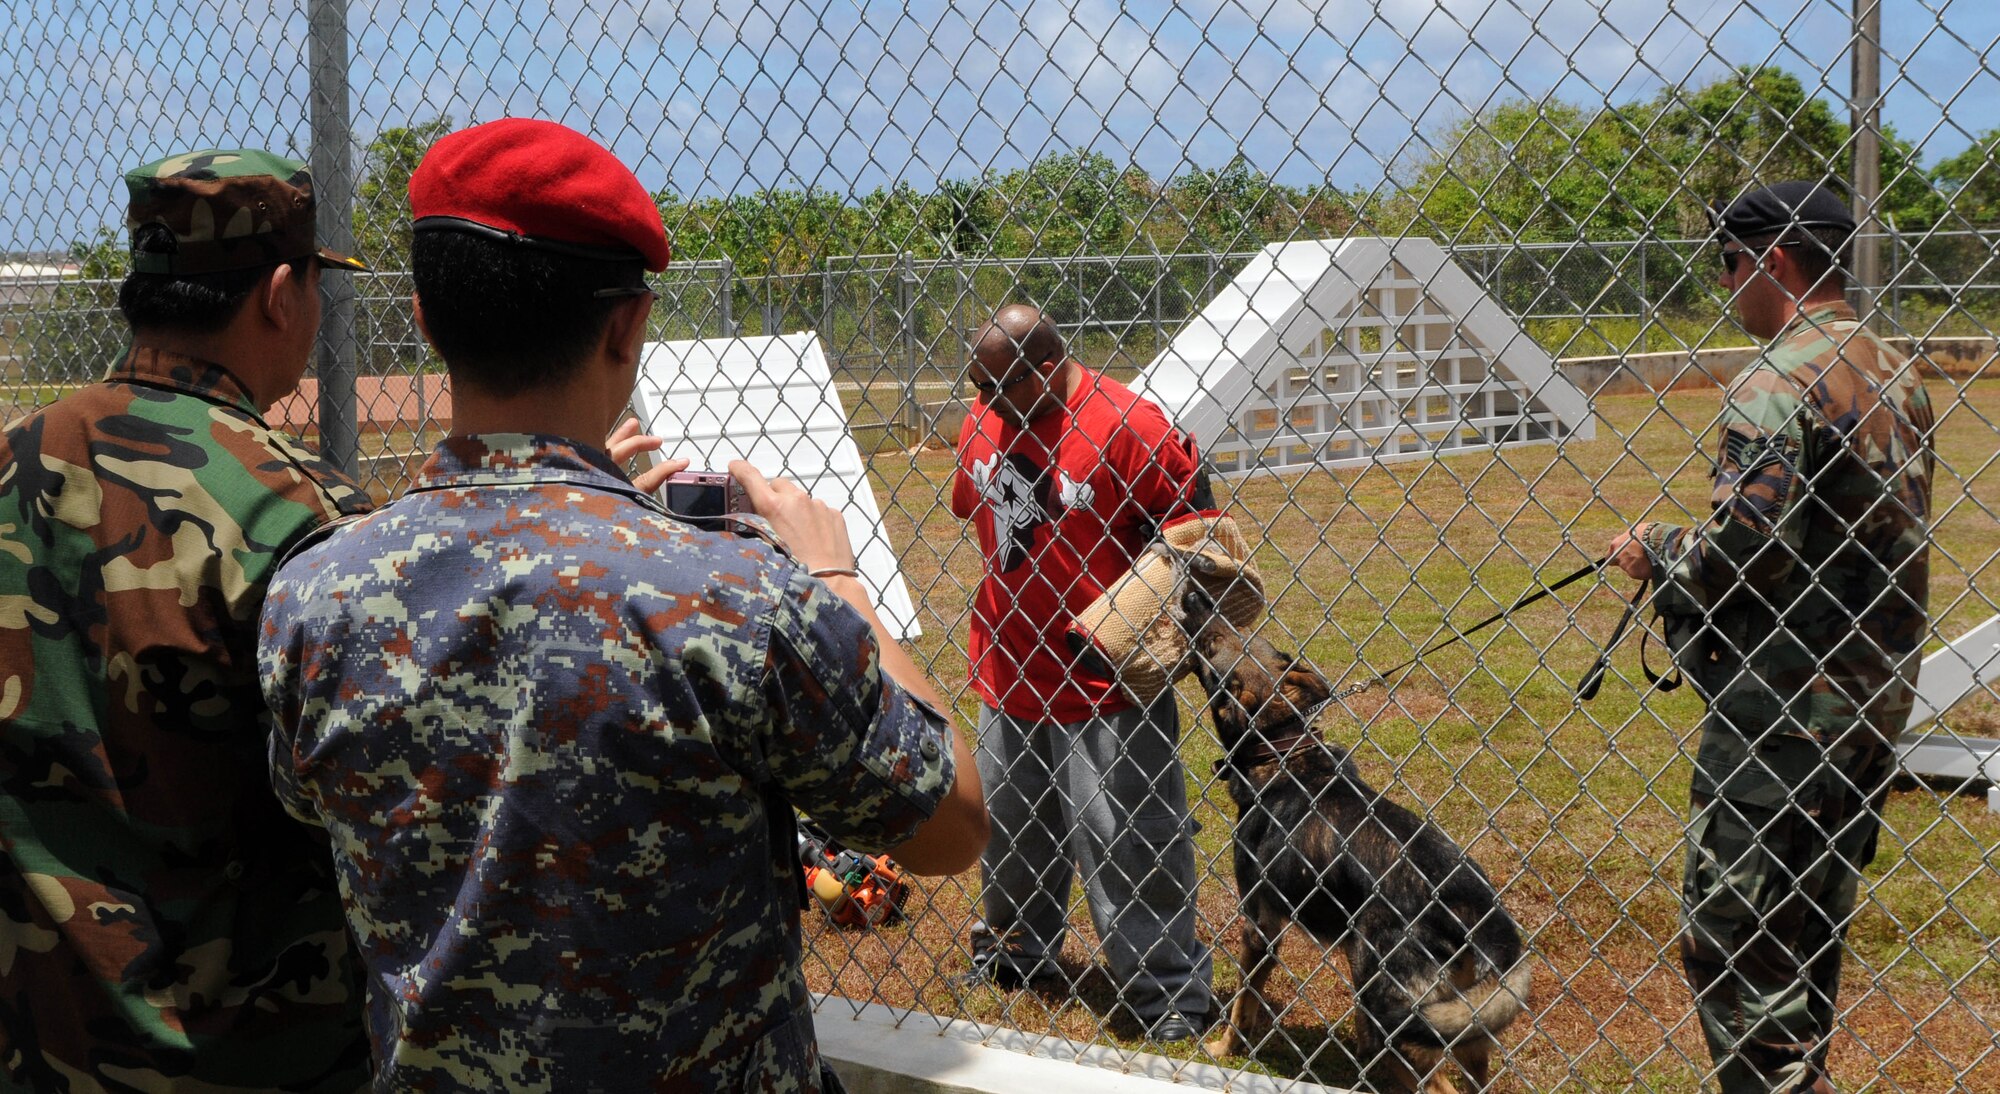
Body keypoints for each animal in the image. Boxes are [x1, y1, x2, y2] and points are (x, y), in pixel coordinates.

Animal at [1176, 592, 1520, 1094]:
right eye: (1239, 629)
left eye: (1213, 641)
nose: (1196, 596)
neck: (1284, 749)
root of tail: (1476, 906)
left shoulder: (1260, 925)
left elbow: (1243, 1002)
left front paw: (1224, 1050)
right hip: (1464, 1020)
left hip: (1390, 1016)